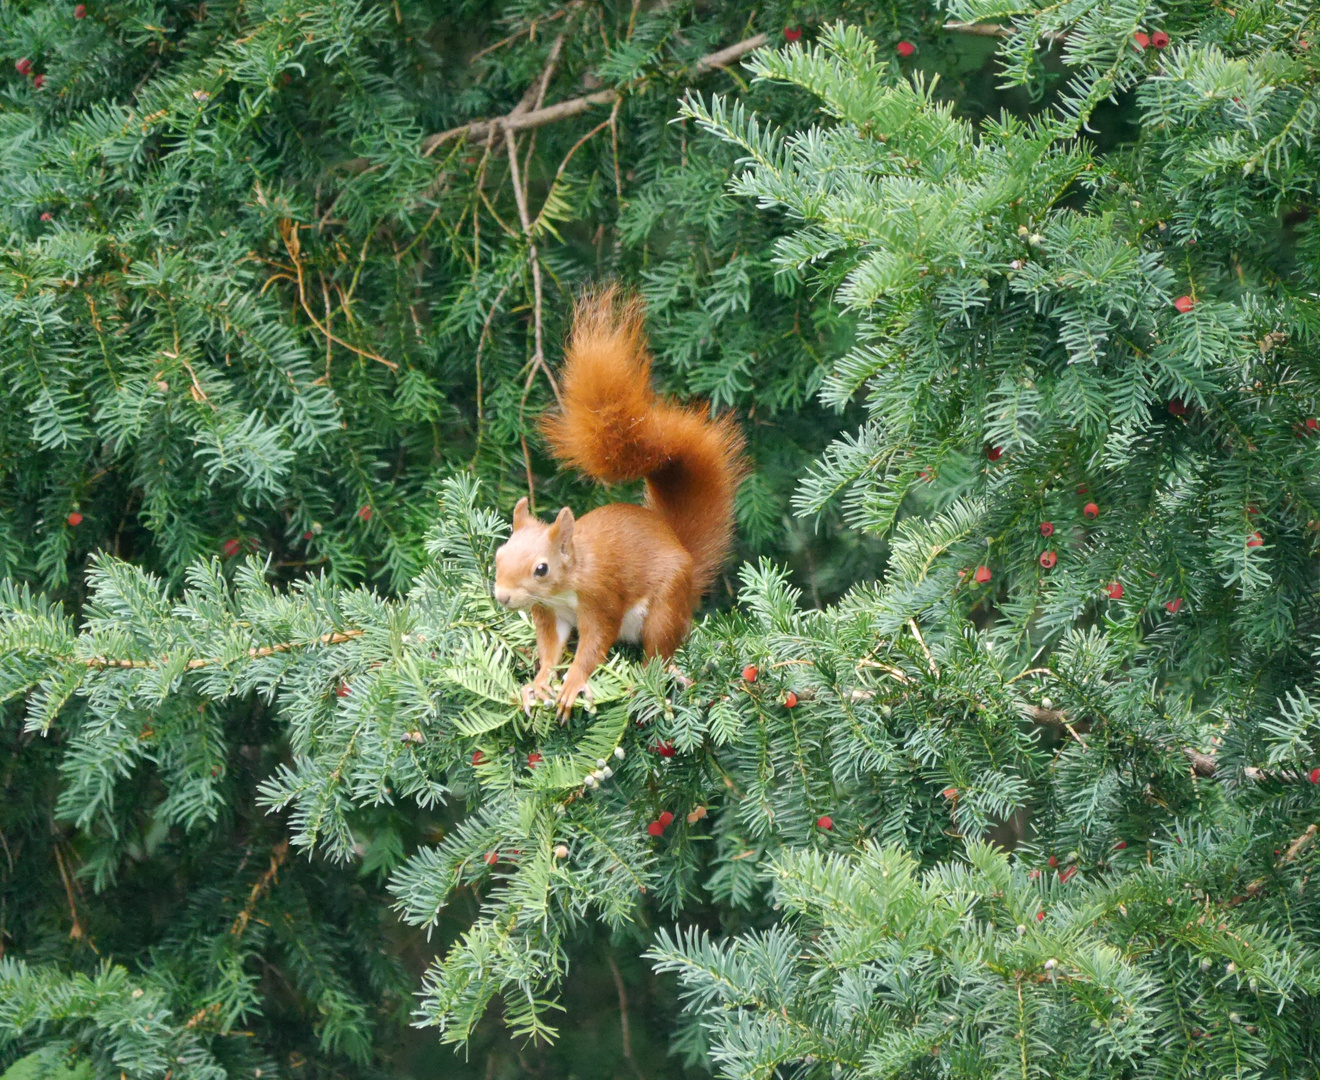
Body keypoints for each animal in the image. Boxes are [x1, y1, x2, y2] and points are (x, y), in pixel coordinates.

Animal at [493, 283, 744, 712]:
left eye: (541, 569)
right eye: (498, 555)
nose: (503, 597)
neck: (568, 584)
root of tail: (685, 554)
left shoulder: (601, 598)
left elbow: (593, 645)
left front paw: (572, 684)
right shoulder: (550, 613)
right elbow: (550, 650)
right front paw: (538, 684)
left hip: (665, 606)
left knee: (660, 649)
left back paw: (653, 677)